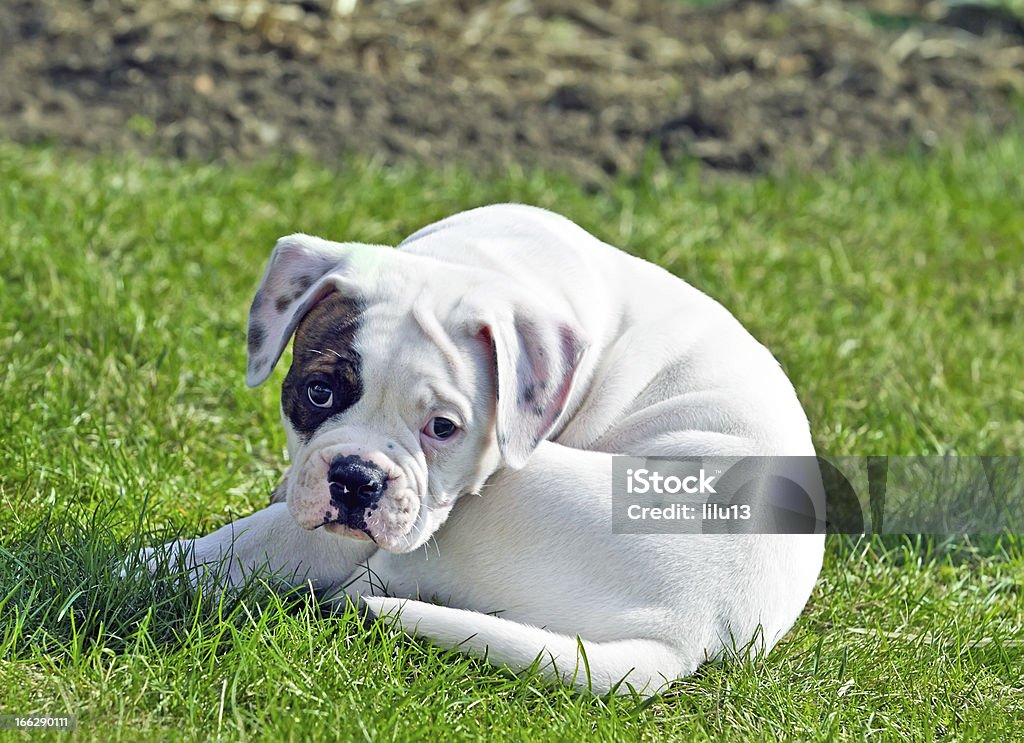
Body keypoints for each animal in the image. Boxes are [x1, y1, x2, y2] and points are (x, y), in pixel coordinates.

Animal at [149, 203, 823, 700]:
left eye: (443, 428)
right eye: (319, 392)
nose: (357, 479)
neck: (472, 263)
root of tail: (690, 636)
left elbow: (220, 551)